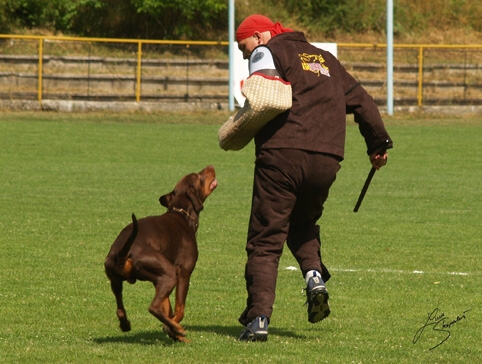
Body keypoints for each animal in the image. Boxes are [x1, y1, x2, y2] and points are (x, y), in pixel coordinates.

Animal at [107, 165, 218, 342]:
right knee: (153, 308)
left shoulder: (157, 280)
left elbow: (168, 309)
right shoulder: (183, 273)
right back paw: (178, 329)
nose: (210, 166)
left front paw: (172, 330)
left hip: (117, 280)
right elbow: (179, 310)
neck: (182, 213)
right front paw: (174, 329)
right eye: (199, 176)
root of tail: (123, 252)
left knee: (121, 309)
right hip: (169, 274)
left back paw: (126, 324)